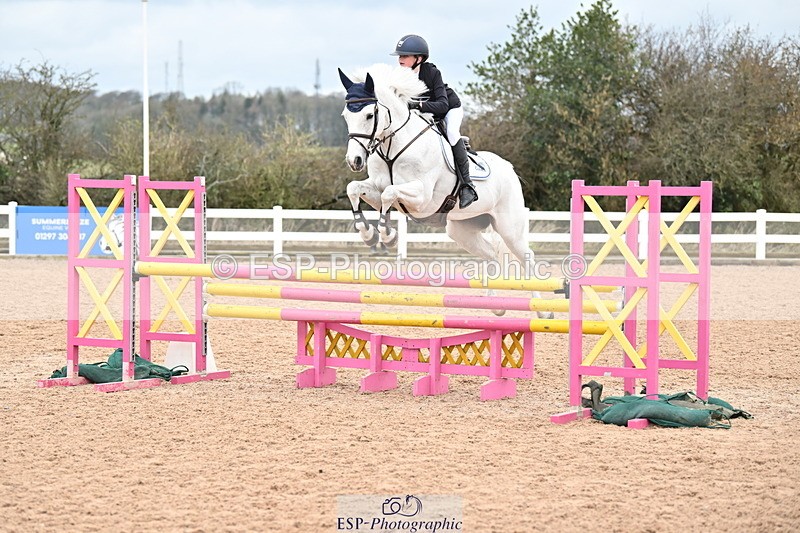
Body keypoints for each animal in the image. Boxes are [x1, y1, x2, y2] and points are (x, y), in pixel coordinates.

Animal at [339, 64, 551, 318]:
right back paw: (496, 306)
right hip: (461, 230)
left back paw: (543, 311)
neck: (394, 146)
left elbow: (389, 193)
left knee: (526, 257)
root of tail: (509, 168)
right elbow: (356, 189)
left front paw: (388, 236)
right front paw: (369, 234)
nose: (355, 161)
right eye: (346, 116)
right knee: (491, 253)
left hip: (510, 228)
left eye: (370, 115)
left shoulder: (422, 198)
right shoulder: (376, 187)